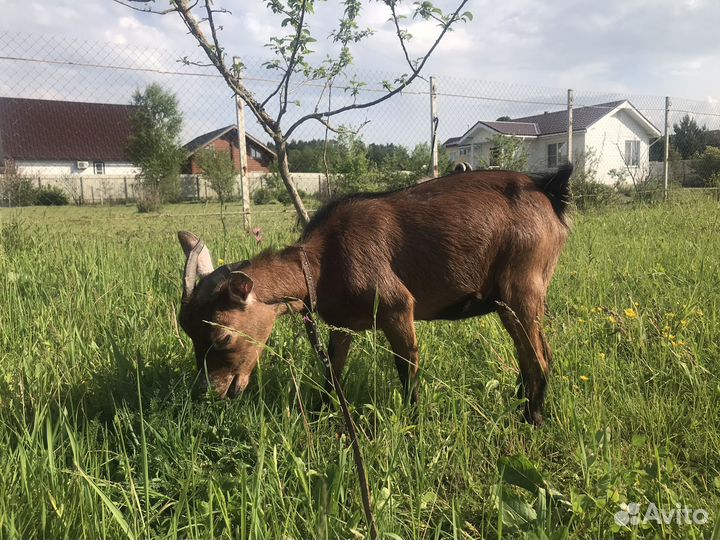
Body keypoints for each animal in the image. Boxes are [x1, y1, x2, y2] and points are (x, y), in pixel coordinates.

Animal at [177, 162, 572, 424]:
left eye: (222, 336)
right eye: (189, 332)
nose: (210, 392)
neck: (324, 261)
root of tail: (548, 189)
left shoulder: (398, 308)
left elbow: (407, 369)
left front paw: (413, 425)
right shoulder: (342, 325)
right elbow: (331, 371)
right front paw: (322, 413)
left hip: (521, 288)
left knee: (540, 356)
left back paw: (532, 419)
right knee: (531, 353)